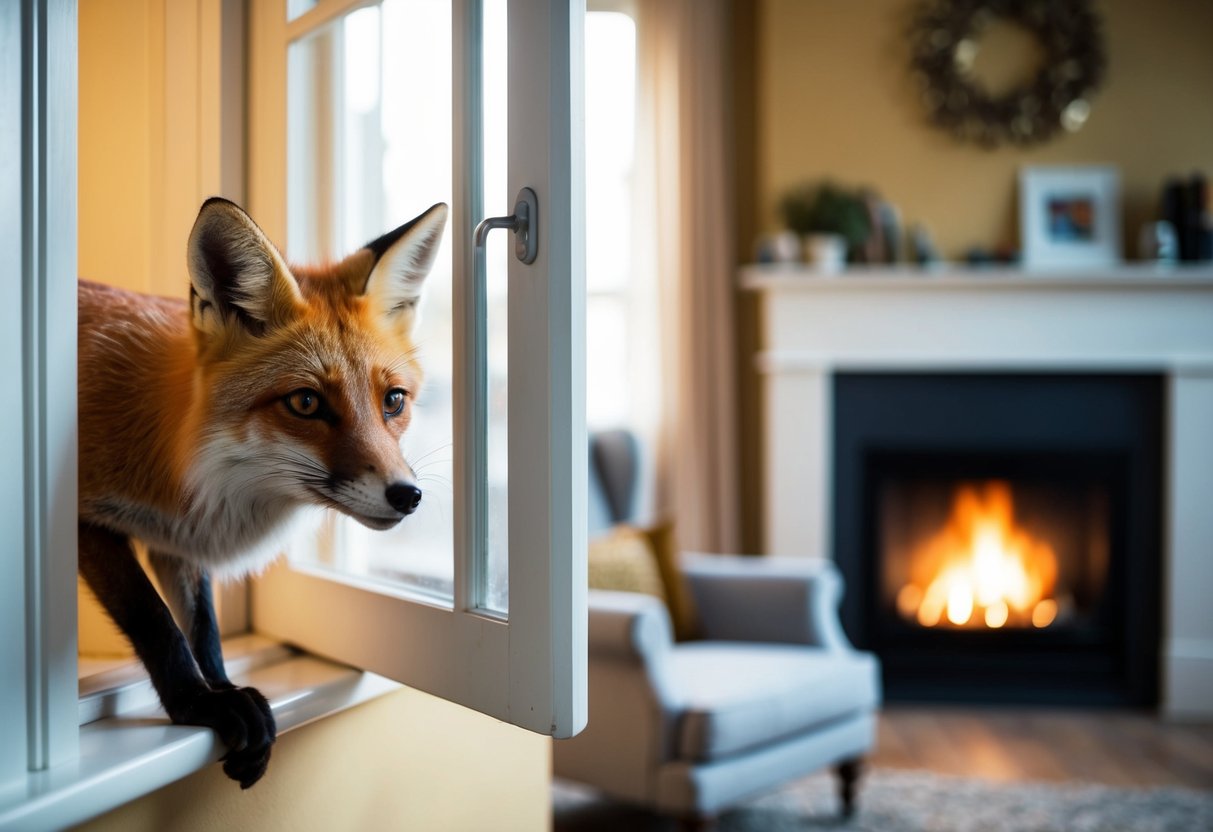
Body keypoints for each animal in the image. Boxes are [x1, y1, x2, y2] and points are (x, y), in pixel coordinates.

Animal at [78, 197, 448, 788]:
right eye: (306, 403)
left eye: (394, 400)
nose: (407, 495)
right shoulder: (86, 520)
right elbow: (156, 622)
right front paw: (198, 704)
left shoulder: (176, 538)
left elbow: (202, 627)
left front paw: (223, 689)